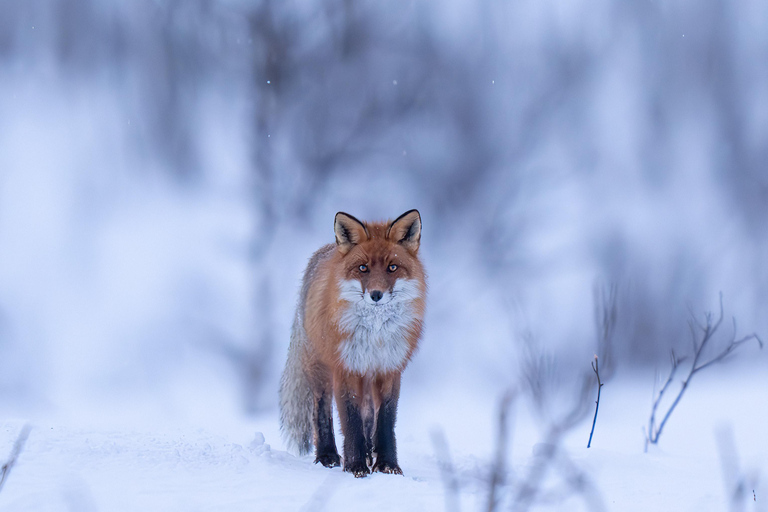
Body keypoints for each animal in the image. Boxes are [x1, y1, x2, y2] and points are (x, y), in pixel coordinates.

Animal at [280, 208, 426, 476]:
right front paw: (355, 465)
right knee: (321, 413)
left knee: (369, 415)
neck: (375, 333)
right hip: (320, 369)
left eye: (392, 267)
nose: (376, 295)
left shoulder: (389, 368)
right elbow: (350, 420)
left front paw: (387, 464)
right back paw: (327, 455)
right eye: (363, 268)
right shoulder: (345, 368)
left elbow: (385, 421)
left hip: (366, 376)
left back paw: (369, 453)